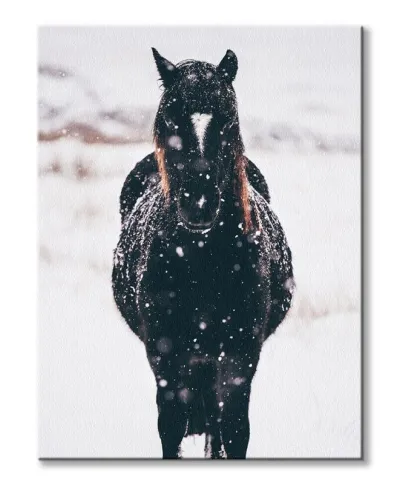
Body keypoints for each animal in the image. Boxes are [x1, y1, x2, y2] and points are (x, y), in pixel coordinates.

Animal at [112, 49, 294, 458]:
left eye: (227, 119)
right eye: (170, 118)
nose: (198, 205)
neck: (203, 263)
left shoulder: (240, 357)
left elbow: (234, 430)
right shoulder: (165, 358)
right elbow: (171, 428)